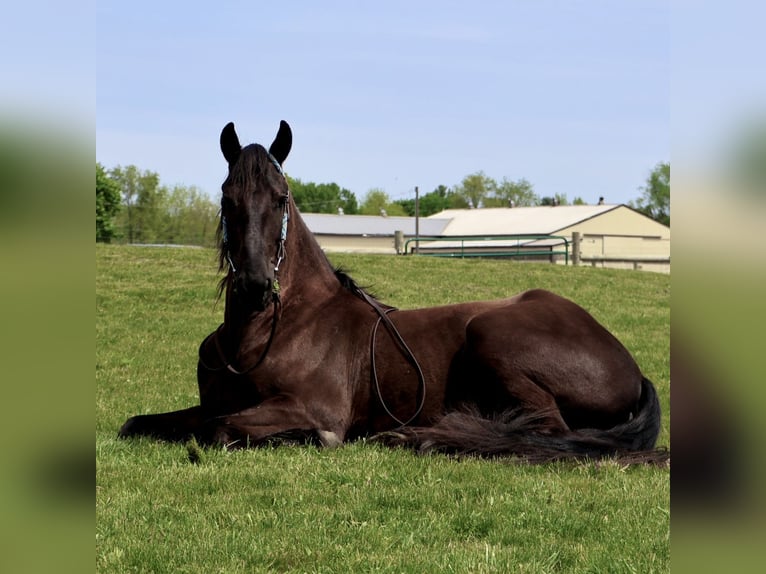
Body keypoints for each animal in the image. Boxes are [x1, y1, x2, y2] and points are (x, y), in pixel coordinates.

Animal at [119, 120, 668, 464]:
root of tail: (630, 366)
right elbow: (140, 424)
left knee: (545, 430)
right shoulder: (211, 404)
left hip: (494, 336)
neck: (276, 327)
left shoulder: (310, 407)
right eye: (227, 197)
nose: (255, 285)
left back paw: (423, 438)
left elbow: (222, 430)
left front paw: (309, 439)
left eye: (280, 198)